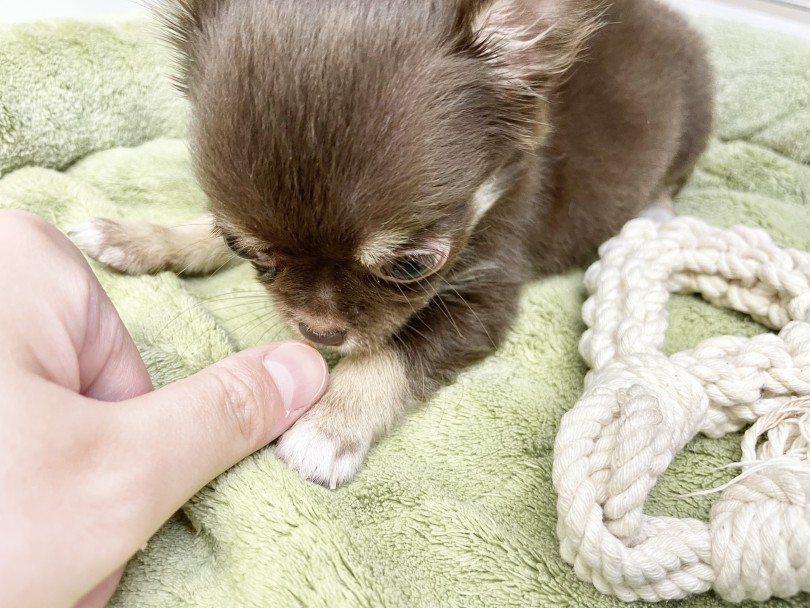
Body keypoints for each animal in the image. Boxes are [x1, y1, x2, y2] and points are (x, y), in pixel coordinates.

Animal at [72, 0, 712, 486]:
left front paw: (328, 427)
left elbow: (388, 355)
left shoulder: (483, 298)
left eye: (409, 266)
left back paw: (655, 214)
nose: (319, 332)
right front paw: (142, 237)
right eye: (246, 249)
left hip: (693, 130)